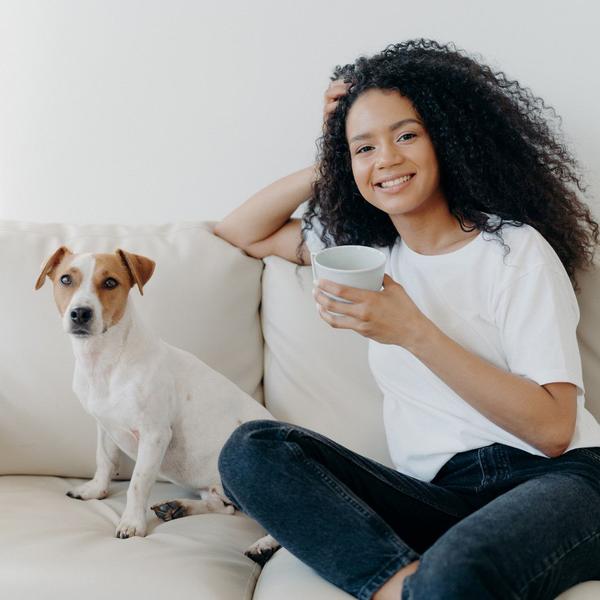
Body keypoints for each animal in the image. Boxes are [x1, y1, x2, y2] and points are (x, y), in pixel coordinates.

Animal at [34, 245, 282, 564]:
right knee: (222, 506)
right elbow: (104, 461)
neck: (106, 362)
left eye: (110, 282)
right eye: (66, 279)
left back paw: (264, 545)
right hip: (213, 487)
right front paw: (96, 490)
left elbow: (138, 483)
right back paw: (179, 507)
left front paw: (131, 524)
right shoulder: (105, 427)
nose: (80, 313)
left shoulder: (155, 435)